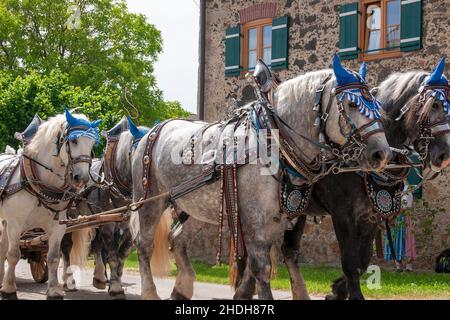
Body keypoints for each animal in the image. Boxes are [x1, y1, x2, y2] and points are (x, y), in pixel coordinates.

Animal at [0, 110, 100, 300]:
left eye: (92, 143)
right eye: (74, 141)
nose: (82, 178)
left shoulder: (58, 227)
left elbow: (53, 257)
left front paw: (54, 290)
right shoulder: (15, 224)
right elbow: (13, 254)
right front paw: (9, 289)